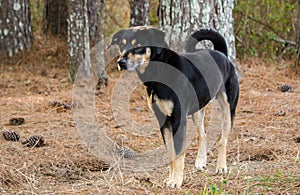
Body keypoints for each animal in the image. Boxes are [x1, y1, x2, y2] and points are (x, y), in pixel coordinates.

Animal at [108, 26, 239, 188]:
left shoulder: (178, 119)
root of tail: (222, 54)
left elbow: (178, 154)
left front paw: (176, 181)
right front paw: (170, 178)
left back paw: (221, 166)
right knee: (203, 134)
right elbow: (170, 153)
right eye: (121, 45)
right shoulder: (164, 121)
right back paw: (200, 161)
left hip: (228, 108)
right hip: (197, 111)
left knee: (223, 140)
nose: (121, 62)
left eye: (138, 46)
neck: (159, 73)